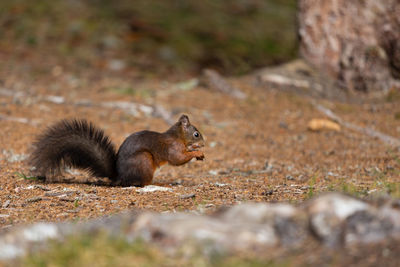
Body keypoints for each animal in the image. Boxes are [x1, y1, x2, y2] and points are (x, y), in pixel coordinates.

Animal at [29, 115, 205, 186]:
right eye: (196, 134)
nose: (203, 143)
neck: (178, 136)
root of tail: (119, 177)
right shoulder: (172, 147)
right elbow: (177, 159)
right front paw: (196, 151)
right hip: (144, 160)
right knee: (140, 183)